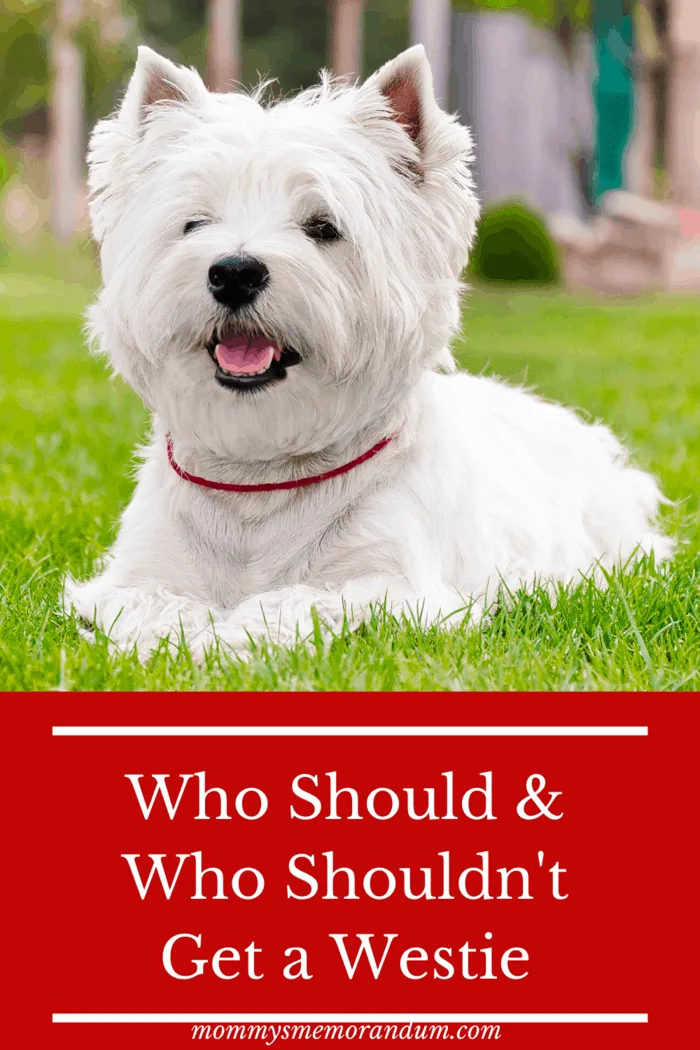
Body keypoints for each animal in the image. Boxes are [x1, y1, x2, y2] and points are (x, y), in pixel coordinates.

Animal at [67, 45, 671, 659]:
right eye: (194, 223)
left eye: (323, 227)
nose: (234, 272)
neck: (260, 484)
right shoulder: (135, 574)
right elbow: (155, 604)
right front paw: (179, 641)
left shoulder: (394, 584)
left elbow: (295, 600)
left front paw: (232, 641)